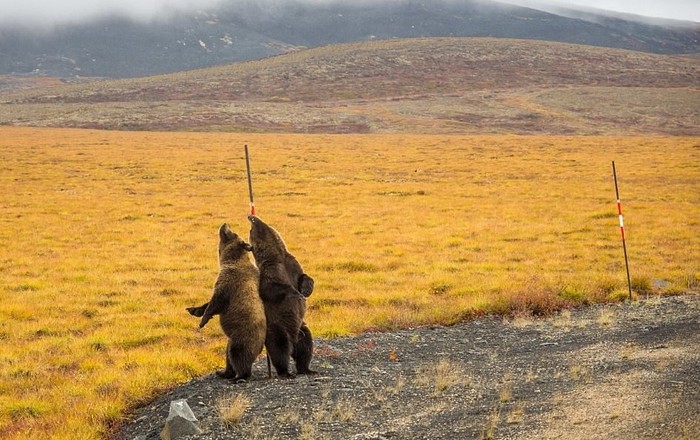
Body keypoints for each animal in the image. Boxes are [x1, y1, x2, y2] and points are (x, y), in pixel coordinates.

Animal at [186, 223, 266, 382]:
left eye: (233, 233)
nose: (224, 224)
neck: (230, 260)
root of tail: (261, 345)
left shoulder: (229, 281)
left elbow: (217, 301)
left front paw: (203, 320)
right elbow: (210, 303)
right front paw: (195, 310)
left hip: (242, 335)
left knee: (238, 355)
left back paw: (239, 376)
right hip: (232, 339)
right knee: (228, 355)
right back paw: (223, 372)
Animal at [248, 214, 316, 378]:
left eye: (255, 223)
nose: (251, 216)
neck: (277, 254)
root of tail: (293, 338)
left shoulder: (292, 264)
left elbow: (304, 277)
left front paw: (305, 290)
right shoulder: (271, 271)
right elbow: (271, 289)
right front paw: (296, 294)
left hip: (301, 328)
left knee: (305, 346)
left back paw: (307, 369)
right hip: (278, 328)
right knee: (280, 349)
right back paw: (286, 372)